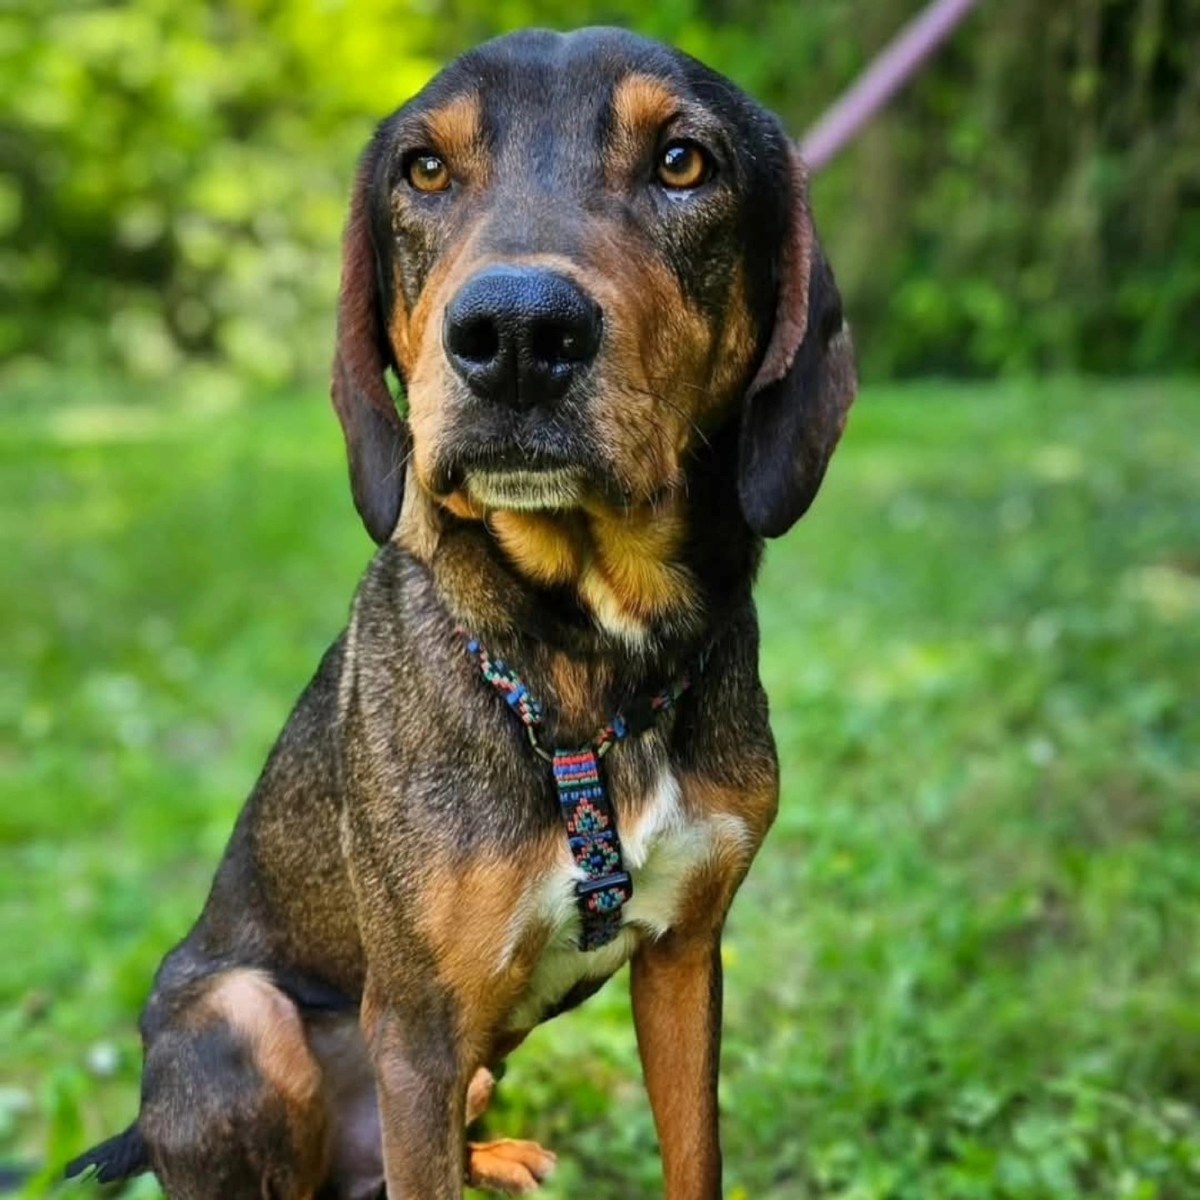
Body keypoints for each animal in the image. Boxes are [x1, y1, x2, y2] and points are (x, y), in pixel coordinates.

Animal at [65, 23, 859, 1195]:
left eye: (684, 162)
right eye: (426, 170)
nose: (518, 333)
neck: (589, 653)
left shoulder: (684, 954)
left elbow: (695, 1157)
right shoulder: (418, 1029)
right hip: (248, 1014)